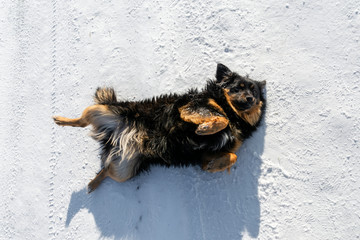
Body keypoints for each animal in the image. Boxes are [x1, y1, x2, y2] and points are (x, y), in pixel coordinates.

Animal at [54, 62, 268, 192]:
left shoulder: (206, 155)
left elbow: (232, 156)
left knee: (106, 170)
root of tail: (117, 138)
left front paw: (215, 166)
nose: (250, 98)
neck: (234, 114)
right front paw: (205, 128)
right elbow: (219, 118)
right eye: (238, 88)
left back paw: (93, 184)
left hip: (124, 169)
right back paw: (61, 120)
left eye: (254, 92)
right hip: (103, 111)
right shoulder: (190, 107)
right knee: (82, 120)